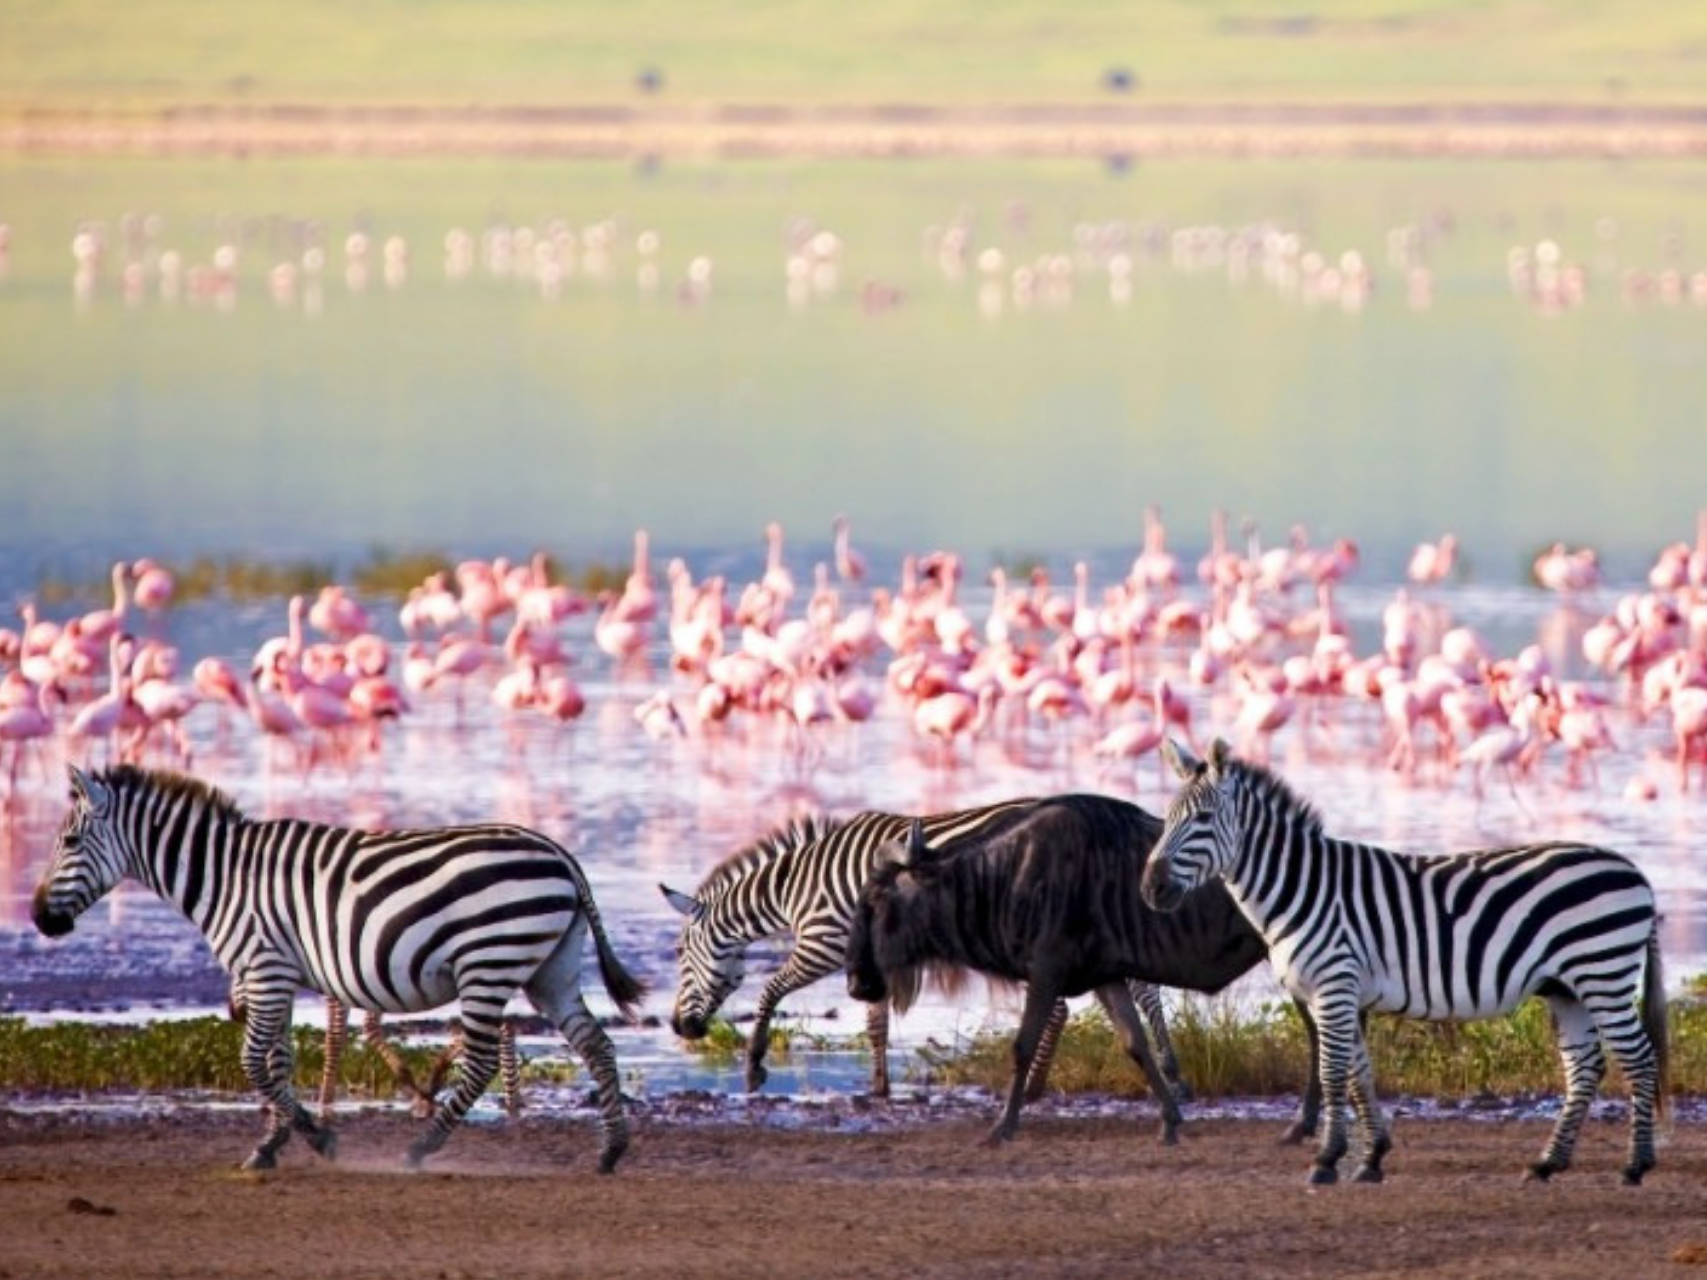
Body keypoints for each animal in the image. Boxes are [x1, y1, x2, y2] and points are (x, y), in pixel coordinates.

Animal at [31, 764, 646, 1174]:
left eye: (69, 840)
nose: (38, 917)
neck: (225, 877)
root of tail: (559, 854)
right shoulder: (273, 976)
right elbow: (277, 1061)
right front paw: (271, 1145)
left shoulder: (264, 968)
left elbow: (253, 1061)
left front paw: (315, 1137)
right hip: (551, 969)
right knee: (596, 1044)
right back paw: (611, 1151)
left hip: (487, 963)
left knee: (483, 1061)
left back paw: (421, 1148)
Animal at [660, 800, 1186, 1104]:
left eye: (681, 954)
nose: (679, 1027)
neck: (795, 888)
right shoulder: (866, 956)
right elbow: (875, 1024)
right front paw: (878, 1088)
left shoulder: (822, 944)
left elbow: (770, 992)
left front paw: (753, 1067)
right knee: (1137, 990)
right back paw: (1168, 1070)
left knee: (1075, 1002)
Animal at [1141, 737, 1668, 1186]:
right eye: (1167, 818)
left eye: (1204, 817)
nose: (1151, 888)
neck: (1302, 888)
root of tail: (1635, 871)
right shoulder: (1341, 992)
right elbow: (1359, 1075)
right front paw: (1371, 1158)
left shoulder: (1335, 985)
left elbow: (1333, 1074)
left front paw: (1326, 1160)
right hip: (1567, 987)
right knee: (1585, 1067)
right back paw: (1547, 1164)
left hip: (1602, 973)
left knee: (1639, 1060)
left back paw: (1635, 1165)